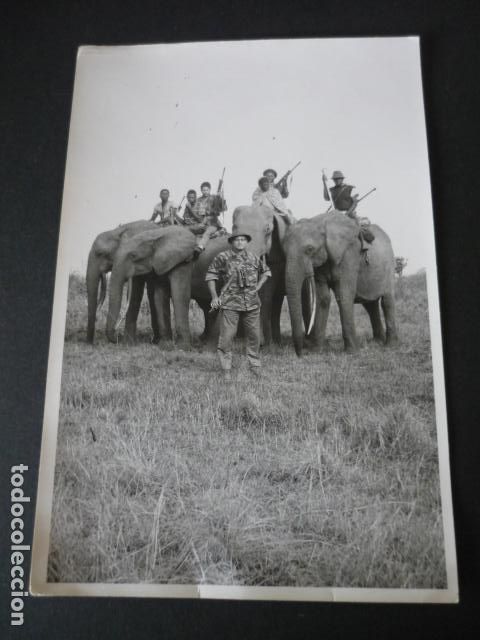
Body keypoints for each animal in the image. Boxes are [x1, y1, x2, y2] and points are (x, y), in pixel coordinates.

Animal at [284, 211, 398, 356]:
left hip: (389, 265)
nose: (301, 354)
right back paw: (377, 341)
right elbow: (323, 298)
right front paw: (316, 351)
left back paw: (391, 345)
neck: (319, 222)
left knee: (387, 301)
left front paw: (352, 352)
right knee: (370, 305)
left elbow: (344, 296)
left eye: (309, 249)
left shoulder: (349, 254)